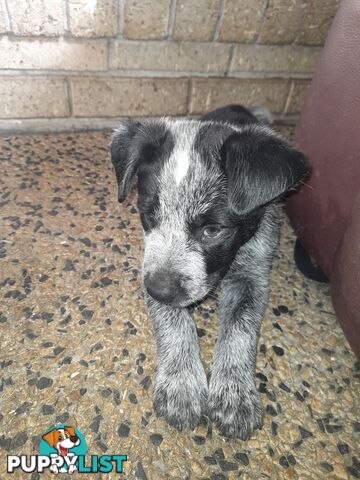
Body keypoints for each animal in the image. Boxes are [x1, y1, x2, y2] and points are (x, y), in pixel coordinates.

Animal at [111, 105, 308, 438]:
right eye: (149, 215)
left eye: (212, 230)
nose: (159, 290)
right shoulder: (151, 268)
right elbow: (175, 323)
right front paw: (181, 385)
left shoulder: (252, 275)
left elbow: (240, 330)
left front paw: (234, 395)